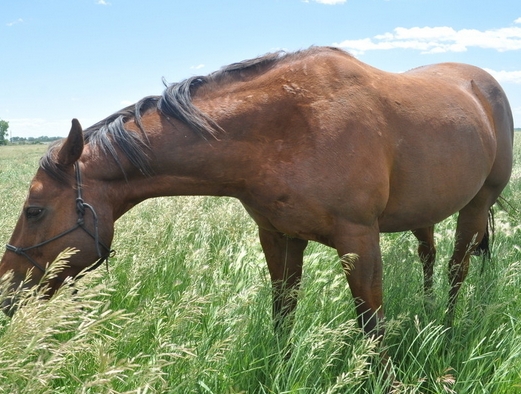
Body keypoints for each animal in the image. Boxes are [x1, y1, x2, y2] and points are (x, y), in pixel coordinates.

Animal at [0, 45, 512, 336]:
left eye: (35, 210)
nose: (6, 292)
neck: (289, 125)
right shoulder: (278, 237)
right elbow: (282, 314)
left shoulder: (359, 241)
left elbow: (372, 326)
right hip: (425, 213)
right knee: (429, 257)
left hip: (476, 205)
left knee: (457, 269)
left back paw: (446, 328)